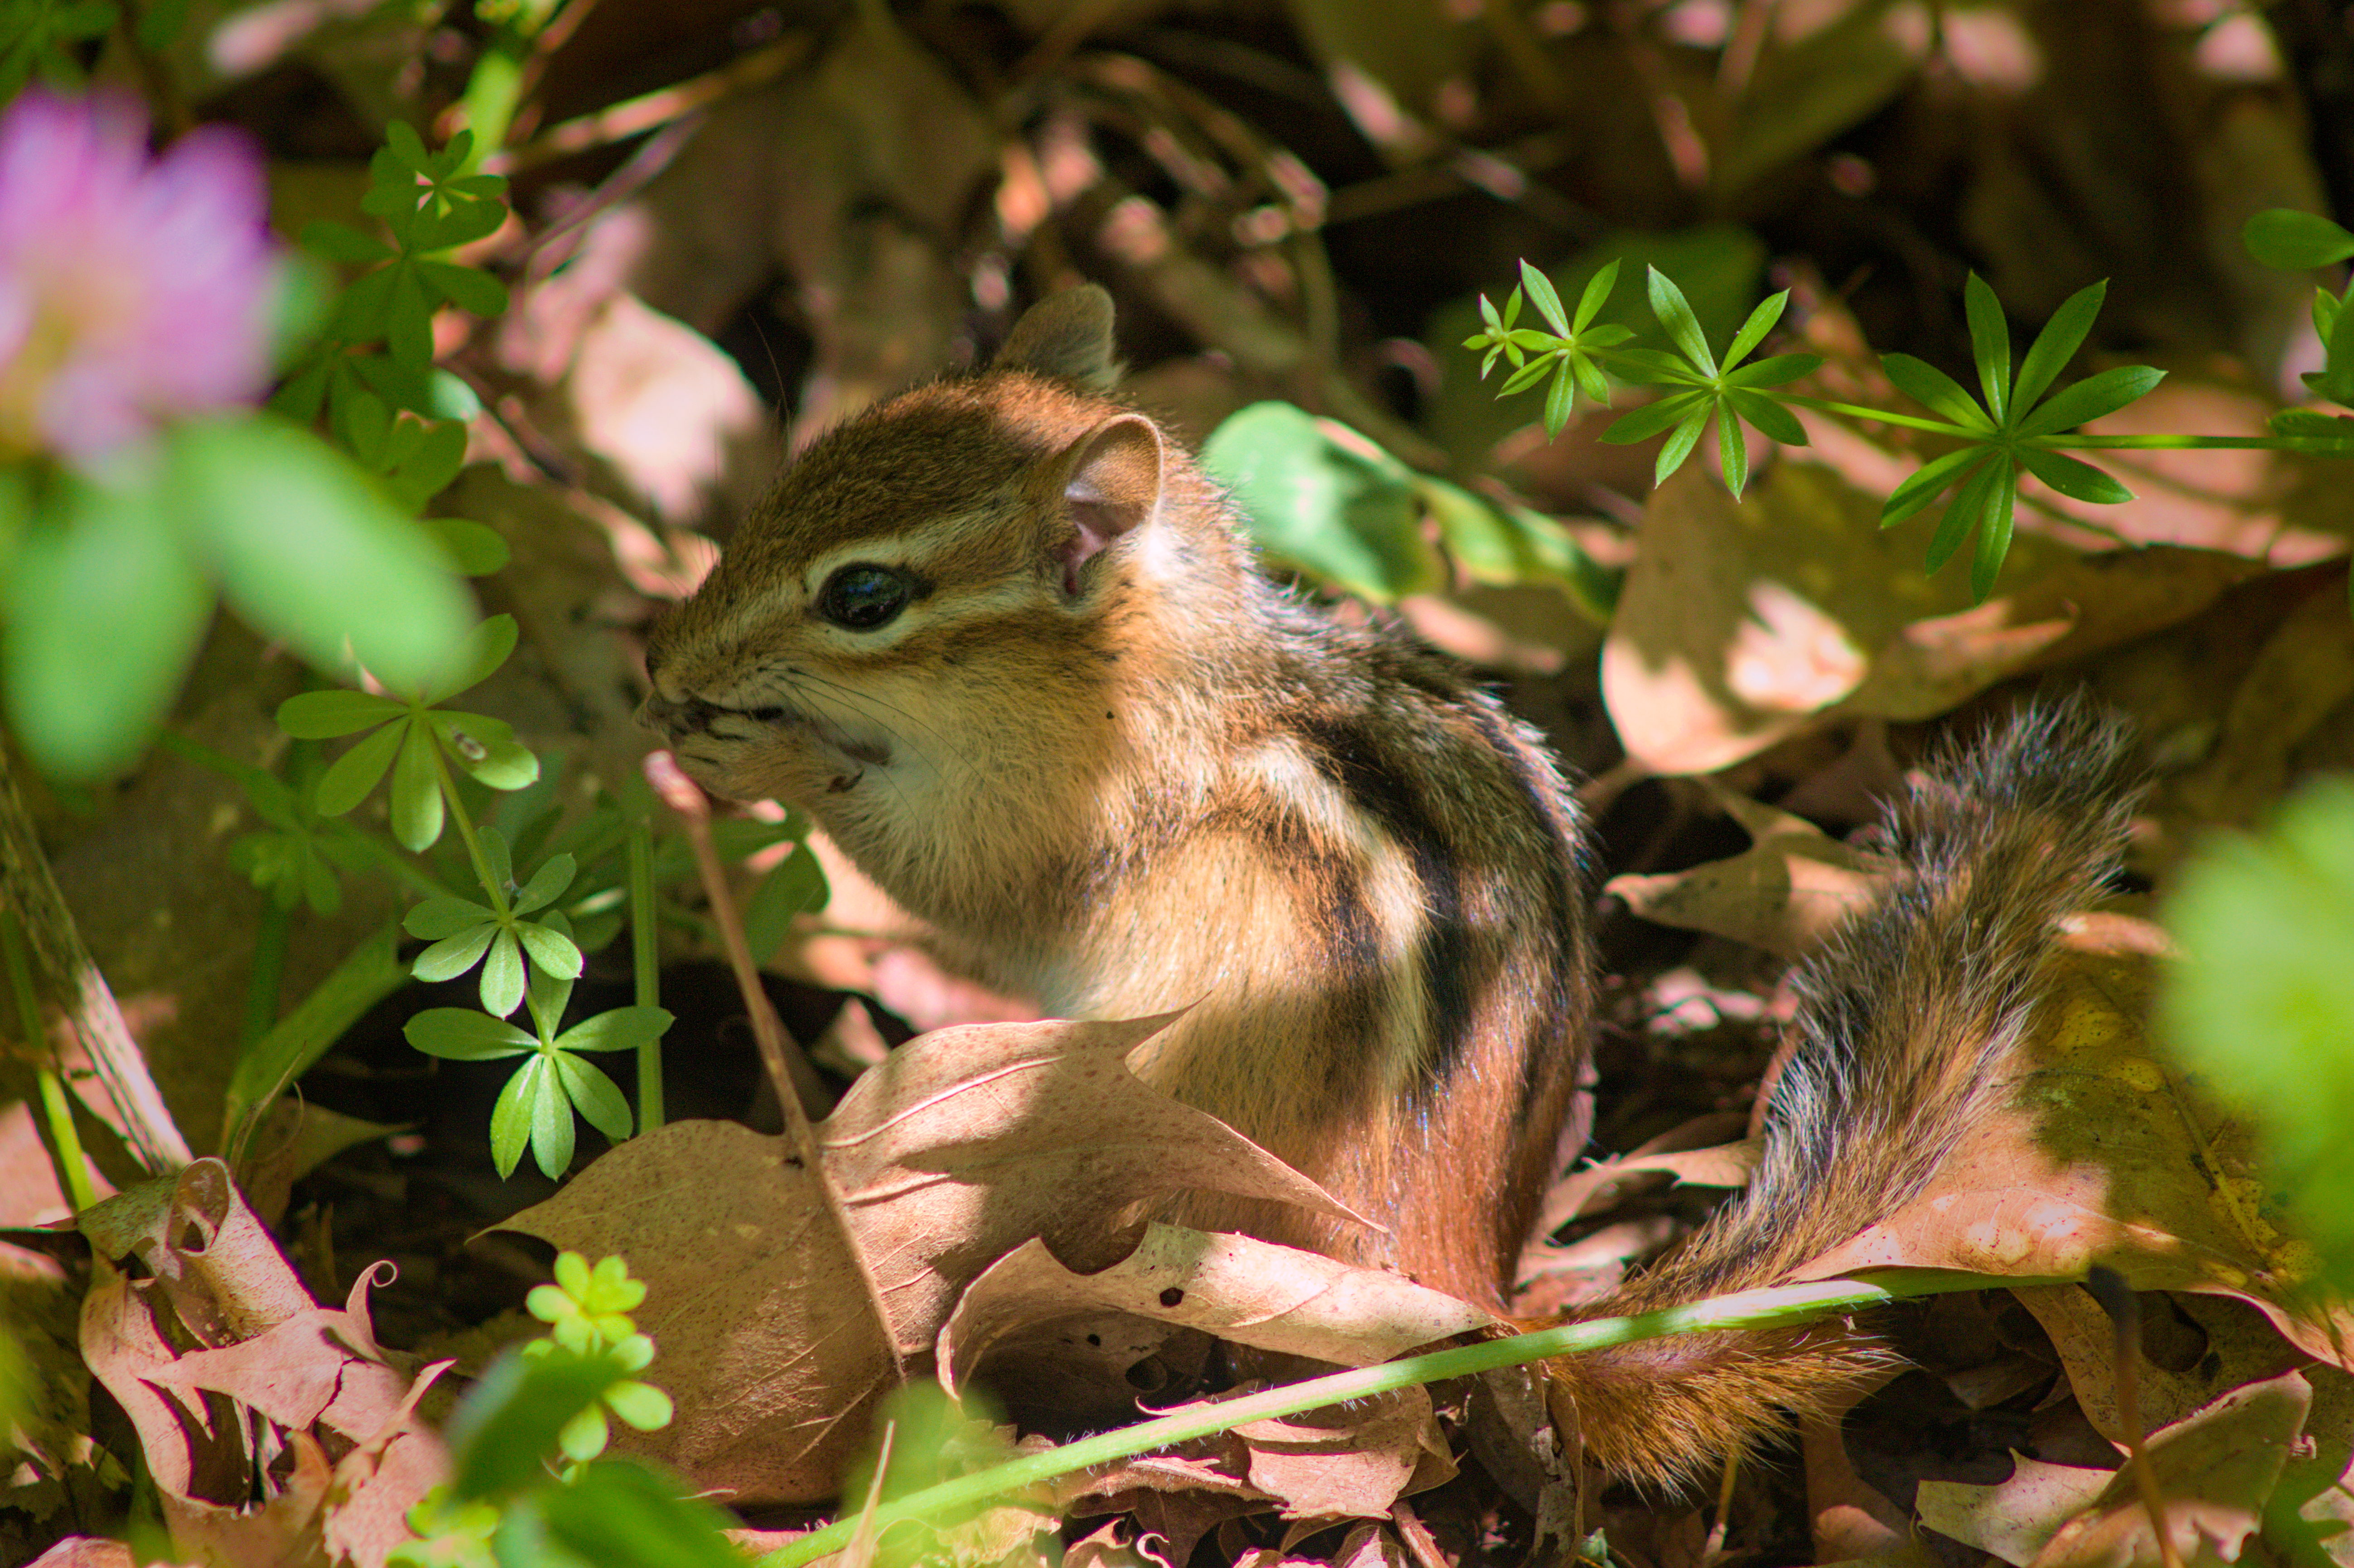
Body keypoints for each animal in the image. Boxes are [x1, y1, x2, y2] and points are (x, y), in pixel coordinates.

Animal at [641, 286, 2144, 1489]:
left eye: (864, 597)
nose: (668, 656)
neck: (1146, 670)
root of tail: (1467, 1271)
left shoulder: (1051, 818)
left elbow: (957, 883)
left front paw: (757, 751)